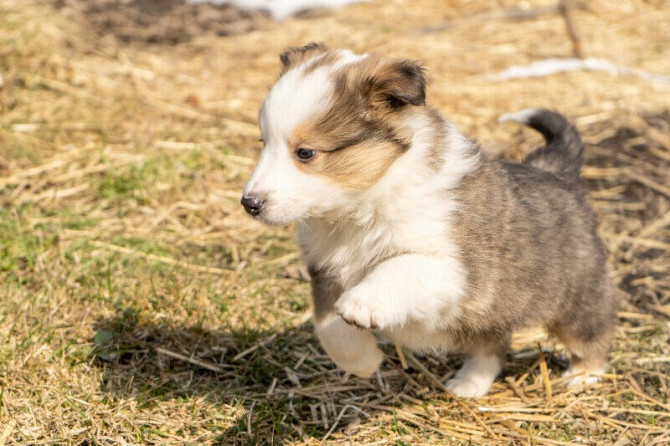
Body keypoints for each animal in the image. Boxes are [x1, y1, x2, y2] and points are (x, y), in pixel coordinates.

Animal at [242, 42, 620, 398]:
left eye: (305, 153)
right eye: (263, 142)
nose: (249, 203)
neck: (362, 206)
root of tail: (556, 171)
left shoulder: (453, 268)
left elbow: (398, 267)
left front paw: (360, 304)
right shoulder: (324, 270)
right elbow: (326, 324)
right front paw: (363, 362)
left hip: (576, 297)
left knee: (593, 333)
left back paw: (583, 375)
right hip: (488, 315)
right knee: (491, 348)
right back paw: (468, 385)